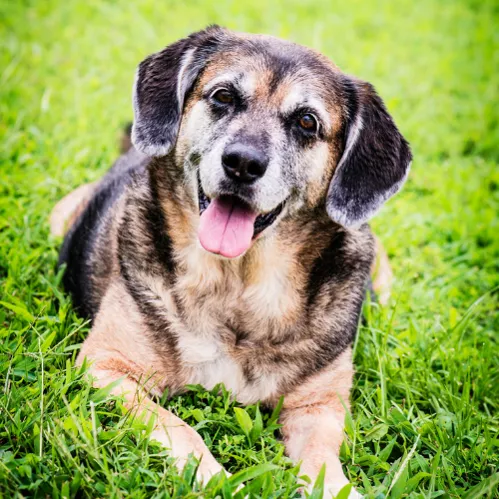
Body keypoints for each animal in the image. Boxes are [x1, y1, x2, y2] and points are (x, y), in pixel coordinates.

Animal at [49, 27, 410, 499]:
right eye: (223, 96)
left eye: (307, 122)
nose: (242, 163)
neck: (237, 285)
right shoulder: (106, 367)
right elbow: (178, 427)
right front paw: (213, 477)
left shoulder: (319, 405)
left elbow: (323, 464)